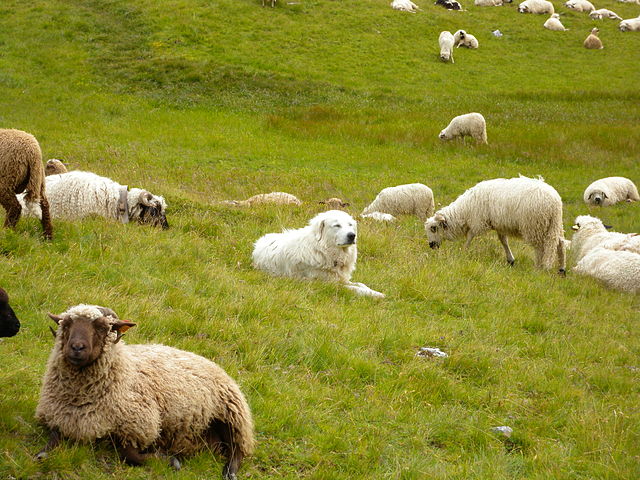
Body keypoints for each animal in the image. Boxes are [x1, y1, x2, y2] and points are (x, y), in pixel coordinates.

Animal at [36, 306, 254, 478]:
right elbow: (51, 441)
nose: (77, 347)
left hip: (230, 414)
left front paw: (169, 461)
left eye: (101, 327)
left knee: (237, 450)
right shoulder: (60, 417)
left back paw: (229, 472)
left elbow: (129, 455)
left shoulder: (138, 425)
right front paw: (42, 454)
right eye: (66, 325)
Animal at [251, 210, 384, 296]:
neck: (323, 249)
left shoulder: (340, 278)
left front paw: (376, 292)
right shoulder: (326, 283)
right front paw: (374, 295)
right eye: (337, 225)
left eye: (350, 225)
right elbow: (355, 289)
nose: (352, 235)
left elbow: (361, 284)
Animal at [424, 176, 564, 274]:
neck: (465, 210)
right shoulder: (499, 225)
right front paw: (510, 260)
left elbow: (470, 235)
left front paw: (463, 251)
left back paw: (539, 267)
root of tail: (554, 202)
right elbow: (504, 241)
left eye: (433, 228)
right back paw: (562, 269)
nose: (431, 245)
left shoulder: (479, 220)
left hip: (535, 225)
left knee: (540, 247)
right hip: (554, 224)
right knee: (560, 244)